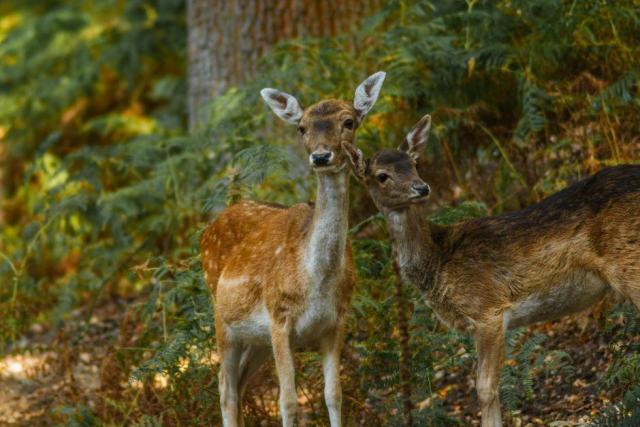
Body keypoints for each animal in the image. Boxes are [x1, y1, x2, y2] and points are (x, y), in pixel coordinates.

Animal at [200, 72, 386, 427]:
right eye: (302, 127)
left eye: (349, 121)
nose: (321, 156)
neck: (316, 280)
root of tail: (208, 228)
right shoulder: (279, 317)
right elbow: (287, 401)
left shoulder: (335, 323)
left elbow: (334, 395)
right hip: (223, 320)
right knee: (225, 386)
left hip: (255, 340)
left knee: (239, 385)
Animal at [343, 113, 640, 426]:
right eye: (382, 175)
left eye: (414, 163)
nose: (421, 188)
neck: (438, 260)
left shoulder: (488, 309)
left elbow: (485, 388)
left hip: (628, 261)